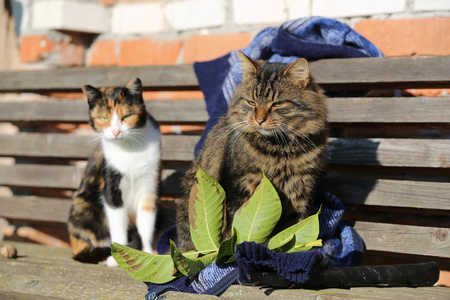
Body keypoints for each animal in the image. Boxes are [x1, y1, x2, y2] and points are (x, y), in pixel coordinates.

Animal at [68, 78, 162, 268]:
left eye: (126, 117)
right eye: (103, 118)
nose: (116, 131)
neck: (130, 149)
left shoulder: (149, 187)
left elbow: (146, 224)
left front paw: (148, 252)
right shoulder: (111, 188)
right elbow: (118, 224)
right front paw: (118, 256)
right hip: (82, 204)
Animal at [176, 51, 326, 251]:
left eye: (277, 104)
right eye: (251, 102)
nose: (260, 120)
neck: (279, 149)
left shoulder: (300, 190)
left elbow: (295, 230)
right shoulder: (240, 188)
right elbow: (240, 231)